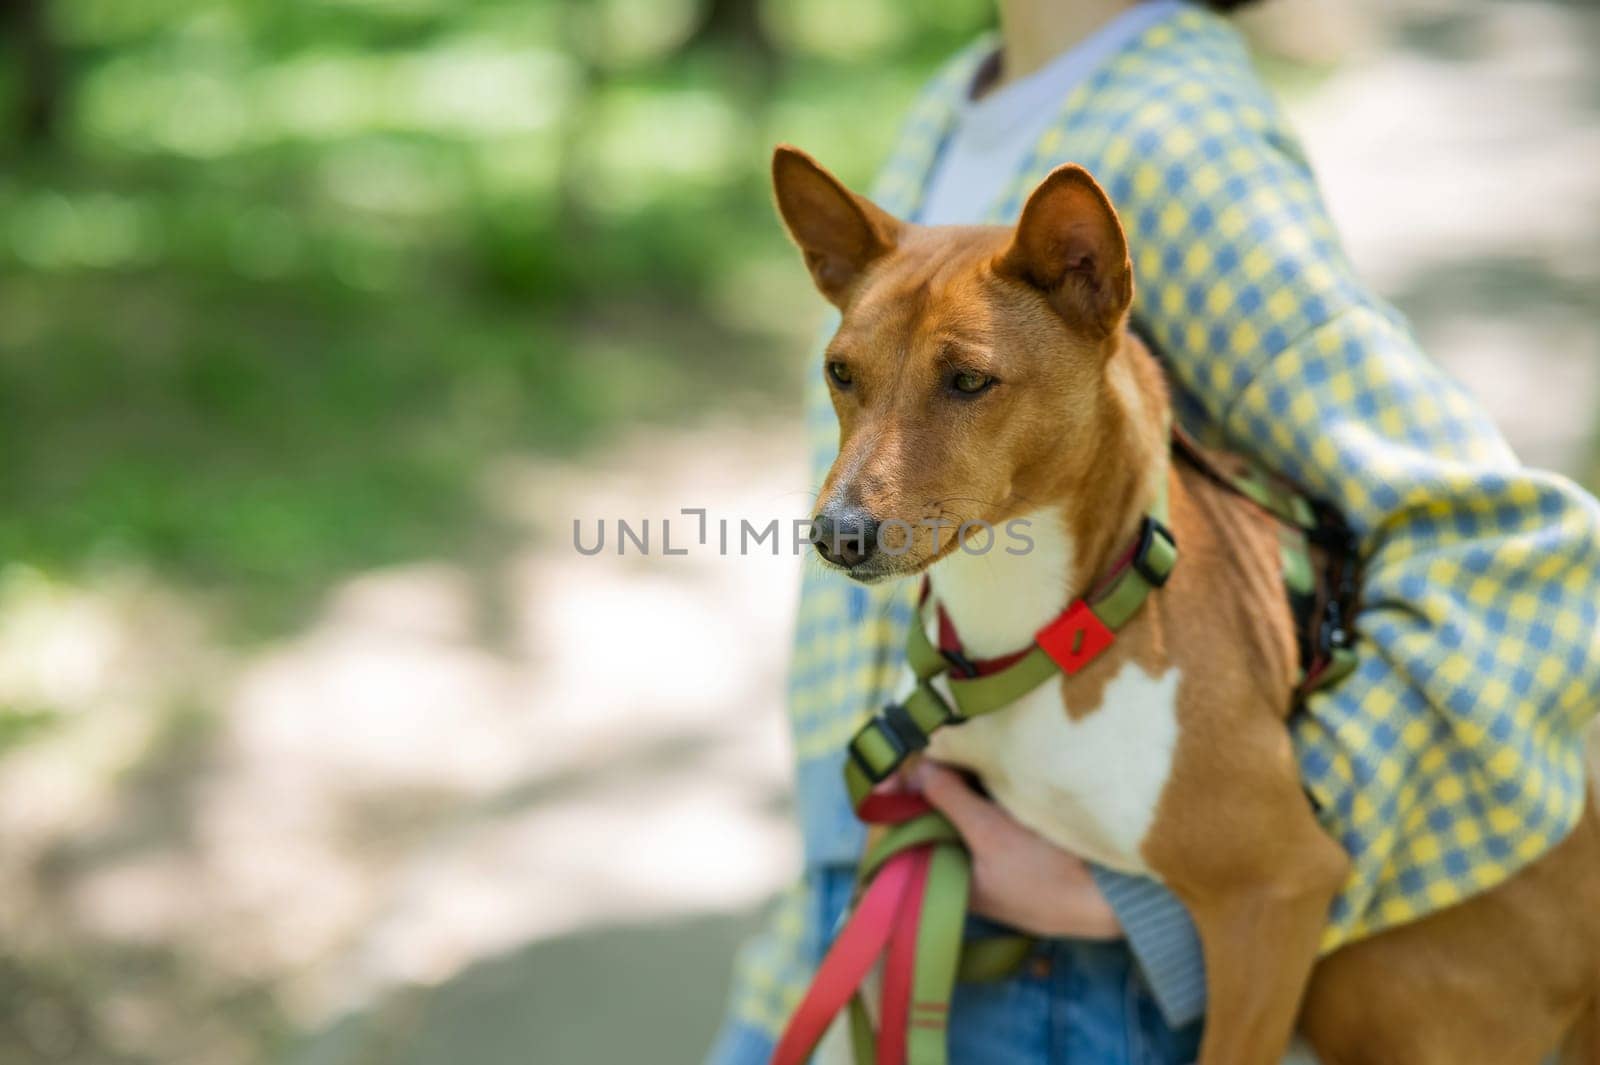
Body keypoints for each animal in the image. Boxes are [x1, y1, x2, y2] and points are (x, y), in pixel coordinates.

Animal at [768, 143, 1600, 1061]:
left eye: (969, 380)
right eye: (841, 374)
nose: (837, 533)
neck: (1041, 633)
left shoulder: (1277, 892)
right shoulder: (912, 834)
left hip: (1369, 982)